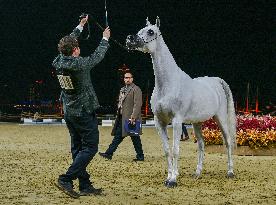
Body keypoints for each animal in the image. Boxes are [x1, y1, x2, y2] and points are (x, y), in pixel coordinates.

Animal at [126, 17, 236, 187]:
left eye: (151, 31)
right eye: (139, 30)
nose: (130, 39)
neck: (168, 84)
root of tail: (217, 81)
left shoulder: (177, 121)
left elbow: (176, 149)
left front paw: (173, 180)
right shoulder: (159, 122)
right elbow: (167, 150)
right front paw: (169, 176)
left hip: (221, 118)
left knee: (228, 141)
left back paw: (230, 172)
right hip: (197, 122)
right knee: (201, 144)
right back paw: (197, 173)